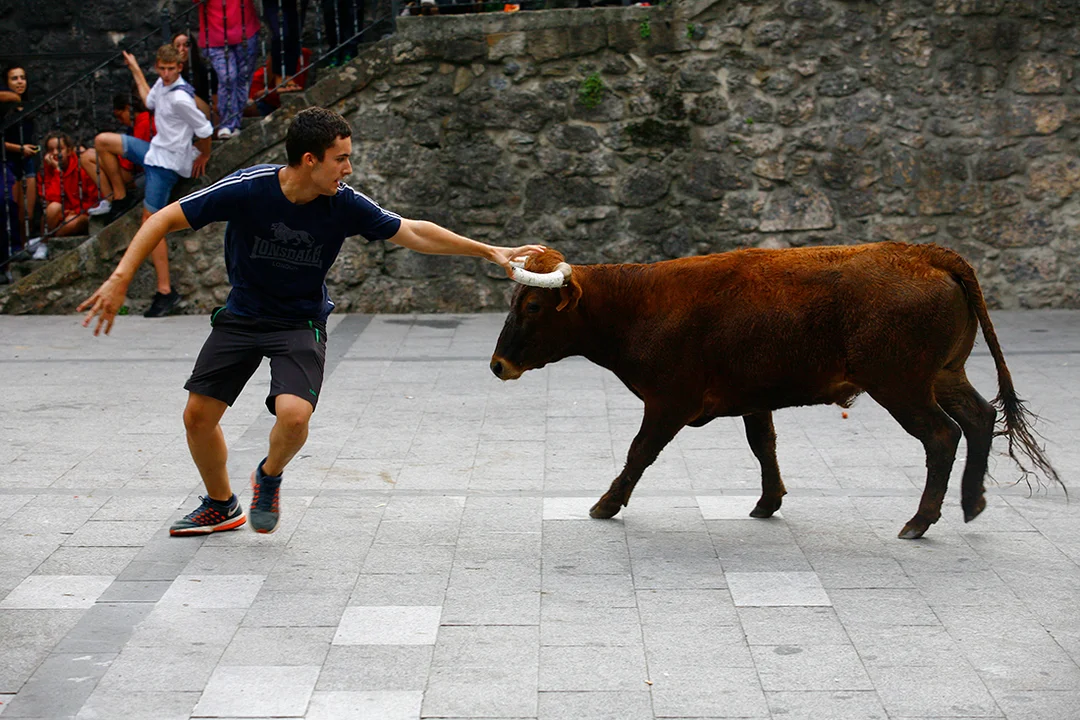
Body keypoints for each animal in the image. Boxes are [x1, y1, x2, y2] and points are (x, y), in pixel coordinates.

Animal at [489, 242, 1063, 539]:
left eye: (533, 306)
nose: (497, 365)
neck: (638, 303)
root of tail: (924, 253)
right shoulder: (753, 398)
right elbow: (763, 446)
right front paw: (768, 502)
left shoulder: (668, 402)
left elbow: (639, 452)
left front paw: (606, 503)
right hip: (945, 374)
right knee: (980, 418)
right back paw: (971, 500)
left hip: (902, 385)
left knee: (943, 436)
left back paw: (920, 520)